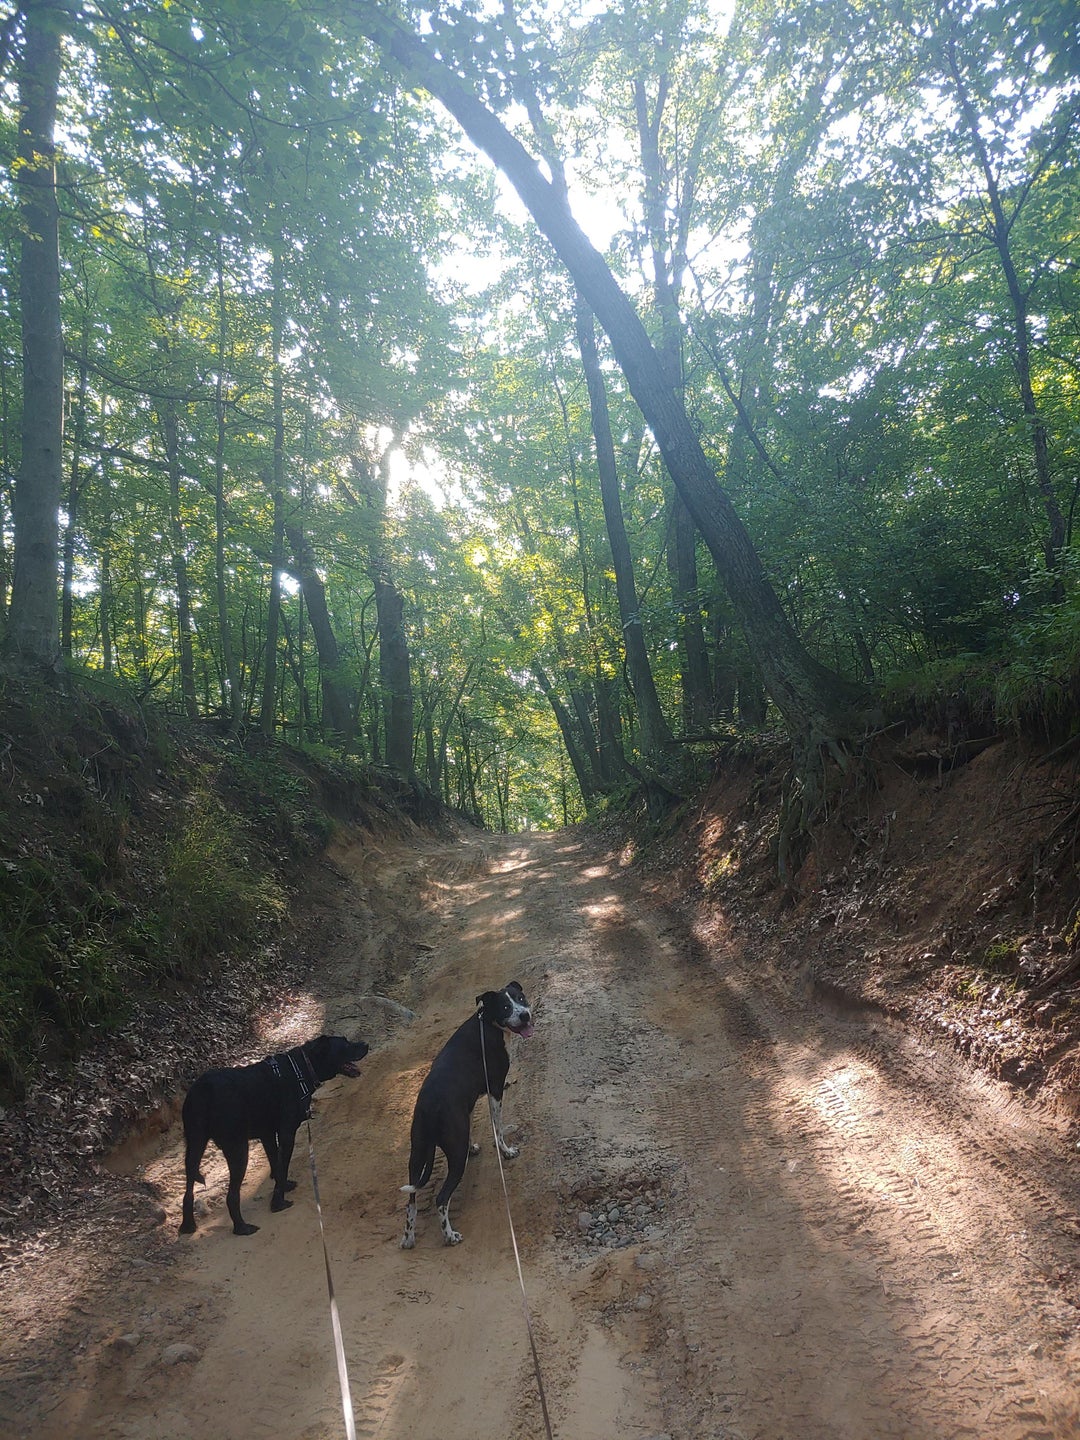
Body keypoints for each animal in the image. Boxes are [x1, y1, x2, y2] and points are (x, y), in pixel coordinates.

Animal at [175, 1036, 365, 1238]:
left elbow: (277, 1164)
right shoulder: (287, 1133)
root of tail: (203, 1091)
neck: (301, 1067)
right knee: (232, 1195)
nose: (366, 1045)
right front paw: (278, 1203)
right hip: (237, 1148)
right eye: (345, 1044)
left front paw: (284, 1187)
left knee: (188, 1189)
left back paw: (188, 1225)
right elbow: (282, 1167)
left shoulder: (267, 1134)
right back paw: (242, 1227)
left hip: (195, 1144)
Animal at [403, 979, 532, 1249]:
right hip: (454, 1156)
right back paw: (449, 1236)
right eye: (506, 1007)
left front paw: (474, 1146)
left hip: (417, 1155)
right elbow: (498, 1128)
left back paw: (408, 1238)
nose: (525, 1015)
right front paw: (506, 1151)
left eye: (521, 998)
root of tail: (429, 1108)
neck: (488, 1024)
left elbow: (473, 1123)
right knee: (441, 1199)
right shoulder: (495, 1090)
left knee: (411, 1202)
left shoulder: (469, 1105)